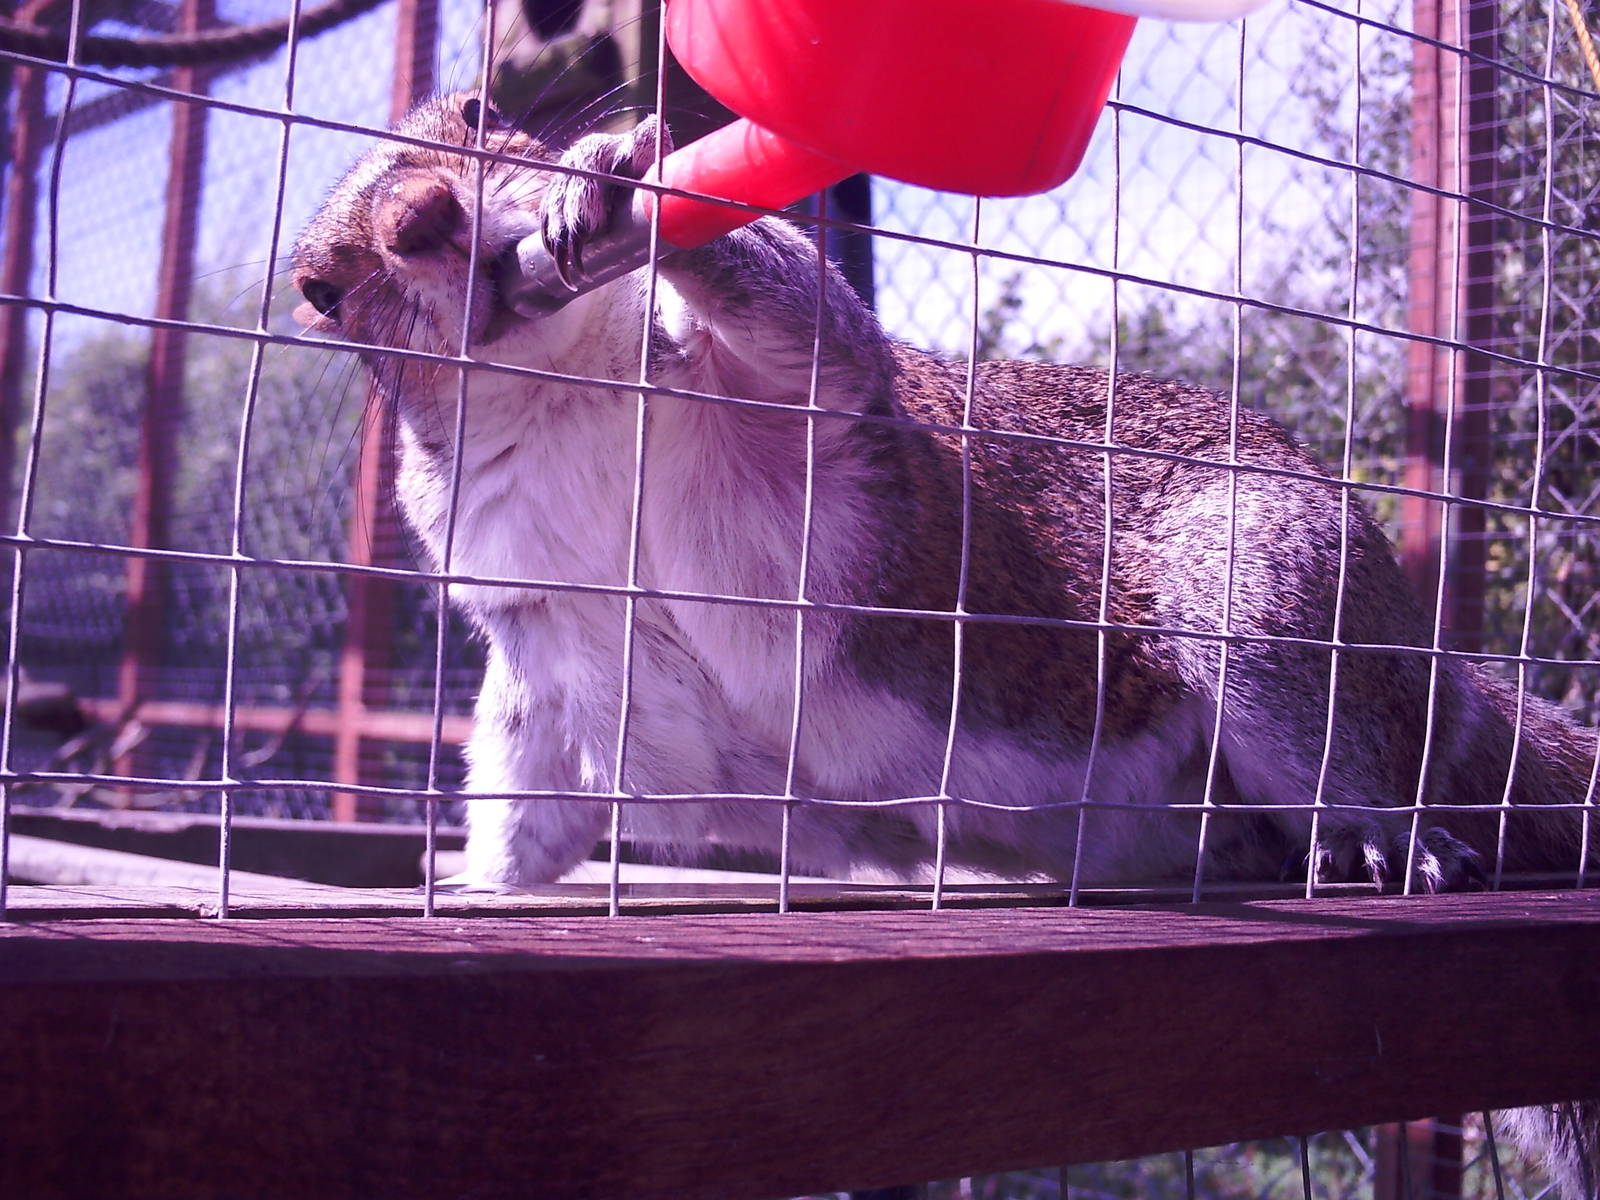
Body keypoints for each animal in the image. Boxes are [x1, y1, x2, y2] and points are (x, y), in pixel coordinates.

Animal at [292, 91, 1598, 1198]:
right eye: (319, 292)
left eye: (480, 110)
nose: (422, 219)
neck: (561, 389)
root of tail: (1434, 675)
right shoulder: (547, 629)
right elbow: (532, 785)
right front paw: (477, 885)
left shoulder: (807, 417)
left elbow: (804, 319)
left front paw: (610, 178)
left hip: (1263, 595)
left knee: (1333, 734)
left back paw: (1380, 834)